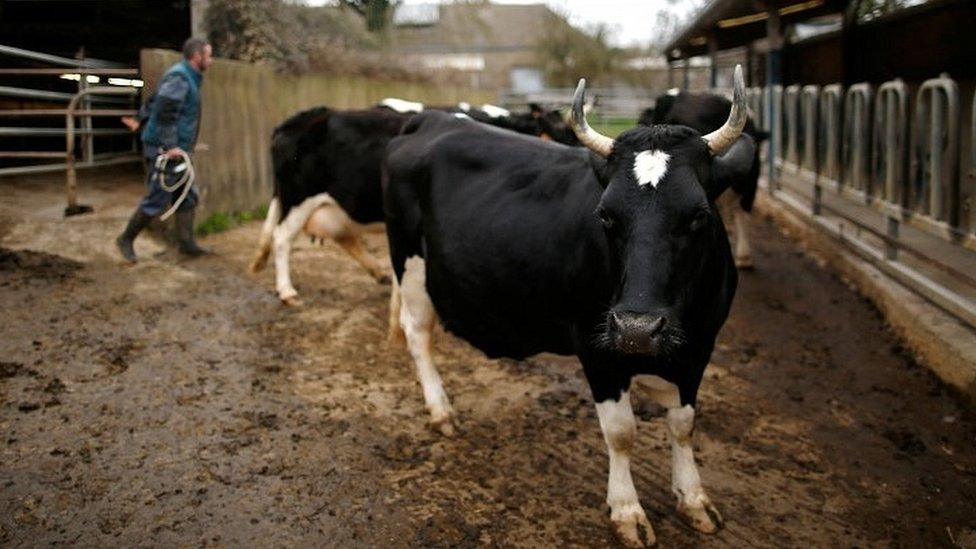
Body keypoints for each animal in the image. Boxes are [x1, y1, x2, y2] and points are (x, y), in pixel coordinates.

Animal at [382, 65, 756, 544]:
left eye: (699, 215)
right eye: (606, 215)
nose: (636, 329)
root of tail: (431, 118)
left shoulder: (700, 349)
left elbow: (683, 426)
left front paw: (693, 498)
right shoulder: (597, 349)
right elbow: (621, 432)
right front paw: (627, 510)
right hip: (409, 262)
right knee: (419, 336)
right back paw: (440, 409)